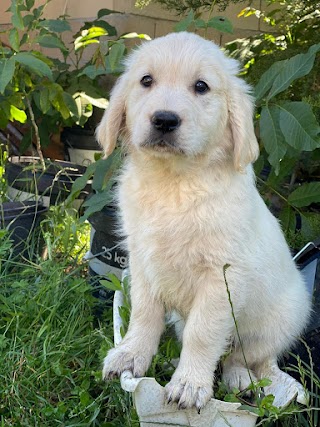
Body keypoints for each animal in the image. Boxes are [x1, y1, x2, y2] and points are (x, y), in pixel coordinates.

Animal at [97, 31, 310, 412]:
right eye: (146, 81)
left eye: (201, 86)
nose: (164, 120)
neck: (174, 183)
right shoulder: (143, 264)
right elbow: (144, 316)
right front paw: (130, 355)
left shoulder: (221, 277)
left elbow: (204, 334)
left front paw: (189, 384)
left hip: (277, 322)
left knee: (244, 357)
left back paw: (240, 380)